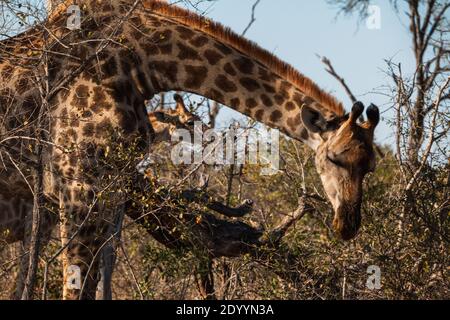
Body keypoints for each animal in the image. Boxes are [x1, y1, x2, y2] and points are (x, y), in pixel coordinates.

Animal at [0, 0, 380, 300]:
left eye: (370, 166)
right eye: (333, 158)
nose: (347, 225)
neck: (144, 64)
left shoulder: (112, 190)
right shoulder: (77, 185)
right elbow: (75, 285)